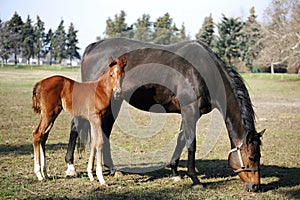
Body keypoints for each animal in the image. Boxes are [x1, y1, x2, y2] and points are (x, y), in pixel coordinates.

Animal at [31, 55, 126, 185]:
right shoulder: (96, 118)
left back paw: (45, 174)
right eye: (111, 74)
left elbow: (94, 143)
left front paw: (91, 175)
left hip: (53, 113)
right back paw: (39, 174)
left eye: (122, 74)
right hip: (48, 114)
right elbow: (99, 142)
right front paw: (101, 179)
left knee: (43, 136)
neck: (100, 90)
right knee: (37, 134)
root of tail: (39, 83)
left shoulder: (95, 120)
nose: (117, 93)